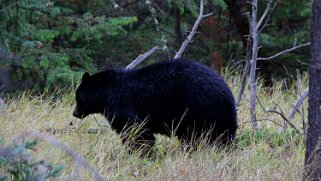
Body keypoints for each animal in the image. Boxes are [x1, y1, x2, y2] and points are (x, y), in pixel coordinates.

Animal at [73, 59, 238, 148]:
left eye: (76, 97)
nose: (74, 113)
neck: (104, 92)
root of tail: (228, 94)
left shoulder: (120, 105)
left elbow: (136, 131)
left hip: (203, 110)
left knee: (213, 136)